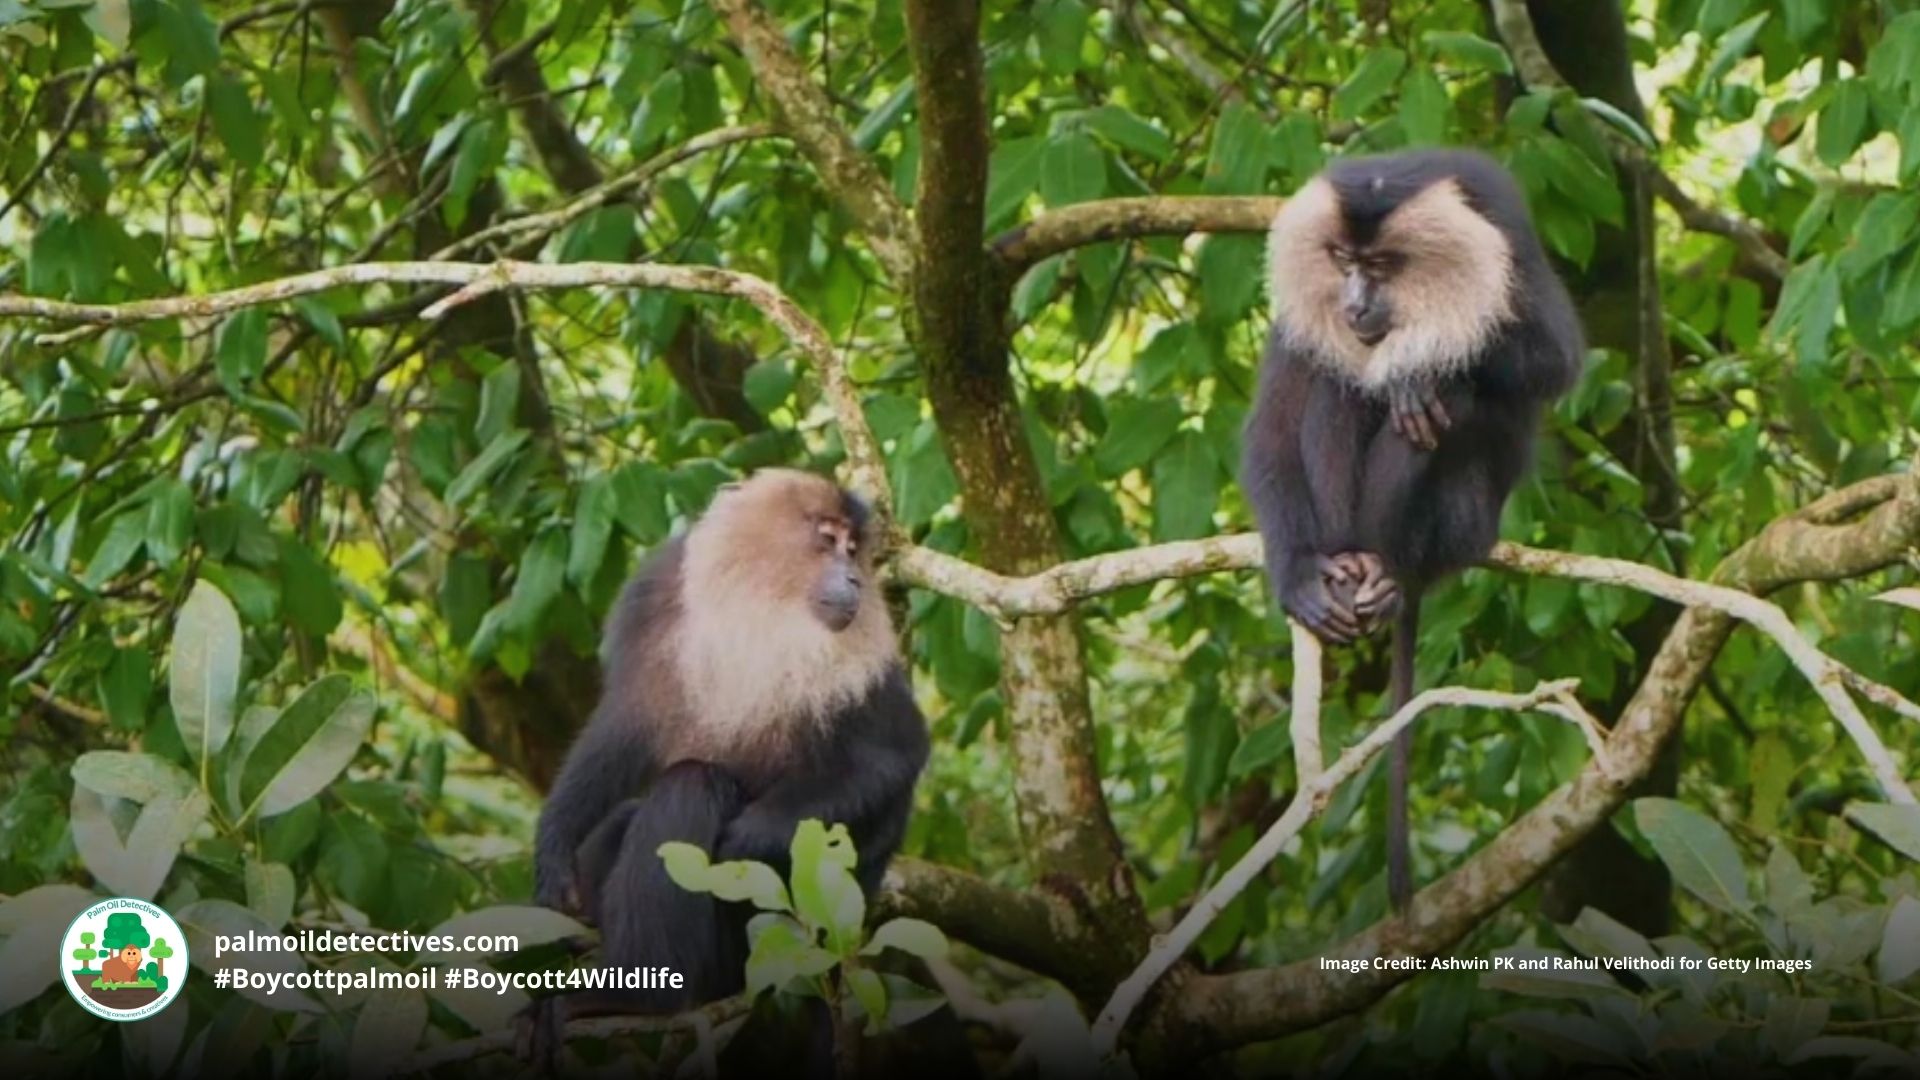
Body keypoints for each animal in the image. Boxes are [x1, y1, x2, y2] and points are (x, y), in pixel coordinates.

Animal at [518, 468, 931, 1072]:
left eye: (854, 549)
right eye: (828, 541)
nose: (854, 575)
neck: (762, 608)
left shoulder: (868, 665)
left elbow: (892, 758)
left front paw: (742, 841)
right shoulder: (659, 595)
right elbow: (625, 721)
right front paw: (554, 843)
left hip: (755, 948)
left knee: (691, 785)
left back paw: (635, 997)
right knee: (633, 811)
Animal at [1240, 149, 1584, 912]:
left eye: (1383, 264)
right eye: (1342, 260)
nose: (1354, 303)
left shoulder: (1506, 223)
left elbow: (1555, 355)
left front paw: (1418, 366)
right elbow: (1271, 430)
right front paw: (1298, 576)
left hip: (1465, 518)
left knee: (1446, 407)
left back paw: (1391, 567)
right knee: (1333, 386)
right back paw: (1348, 569)